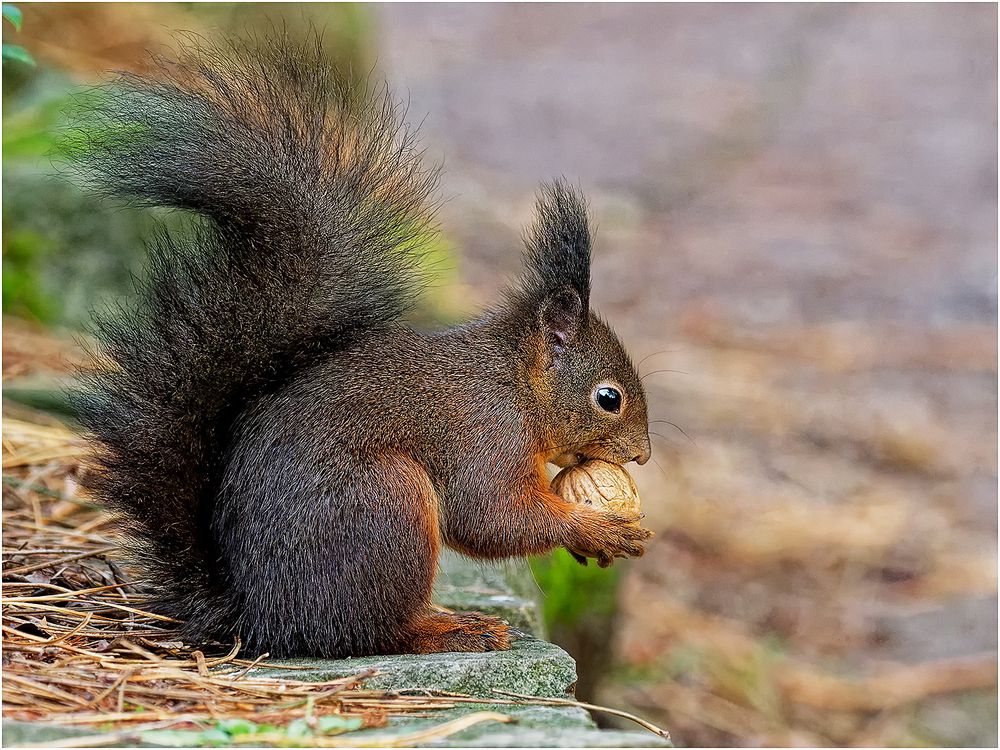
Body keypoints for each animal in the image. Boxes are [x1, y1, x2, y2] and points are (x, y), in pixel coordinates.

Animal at [70, 33, 652, 656]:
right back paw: (450, 629)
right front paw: (596, 528)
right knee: (375, 630)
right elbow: (490, 517)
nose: (642, 454)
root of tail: (261, 616)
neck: (518, 382)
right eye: (609, 397)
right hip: (386, 504)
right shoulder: (484, 435)